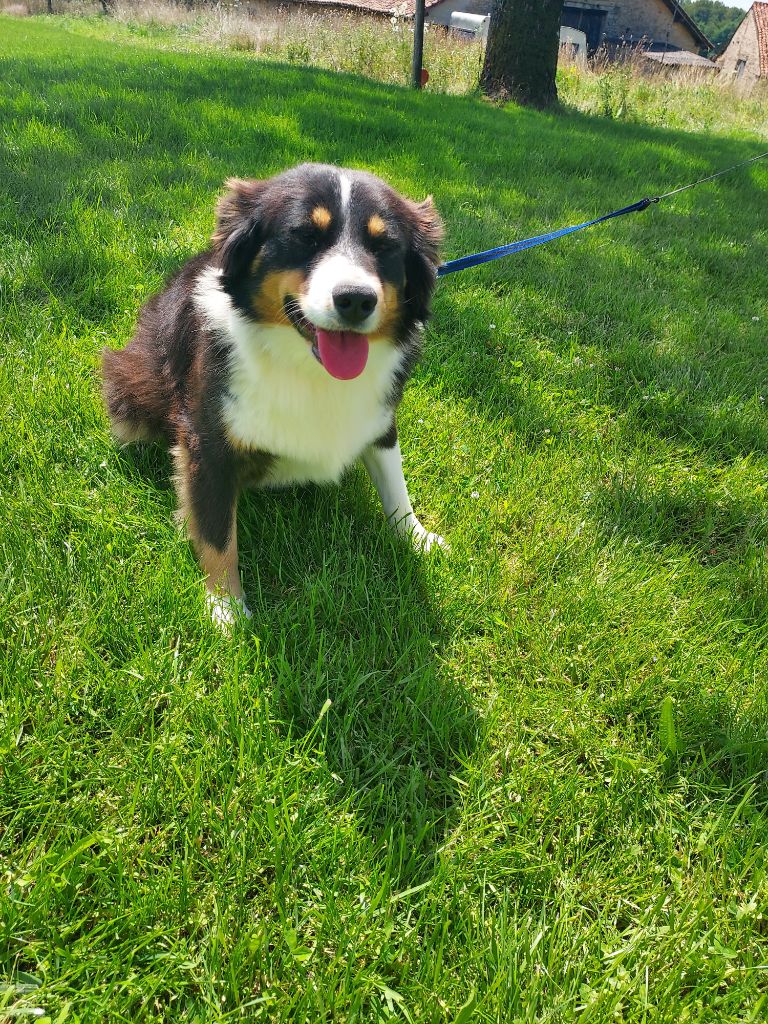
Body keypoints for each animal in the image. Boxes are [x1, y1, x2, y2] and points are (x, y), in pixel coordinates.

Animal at [103, 165, 450, 622]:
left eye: (385, 245)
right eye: (305, 236)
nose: (356, 300)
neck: (308, 369)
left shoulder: (379, 418)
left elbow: (396, 485)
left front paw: (416, 538)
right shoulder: (206, 440)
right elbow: (217, 532)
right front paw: (226, 610)